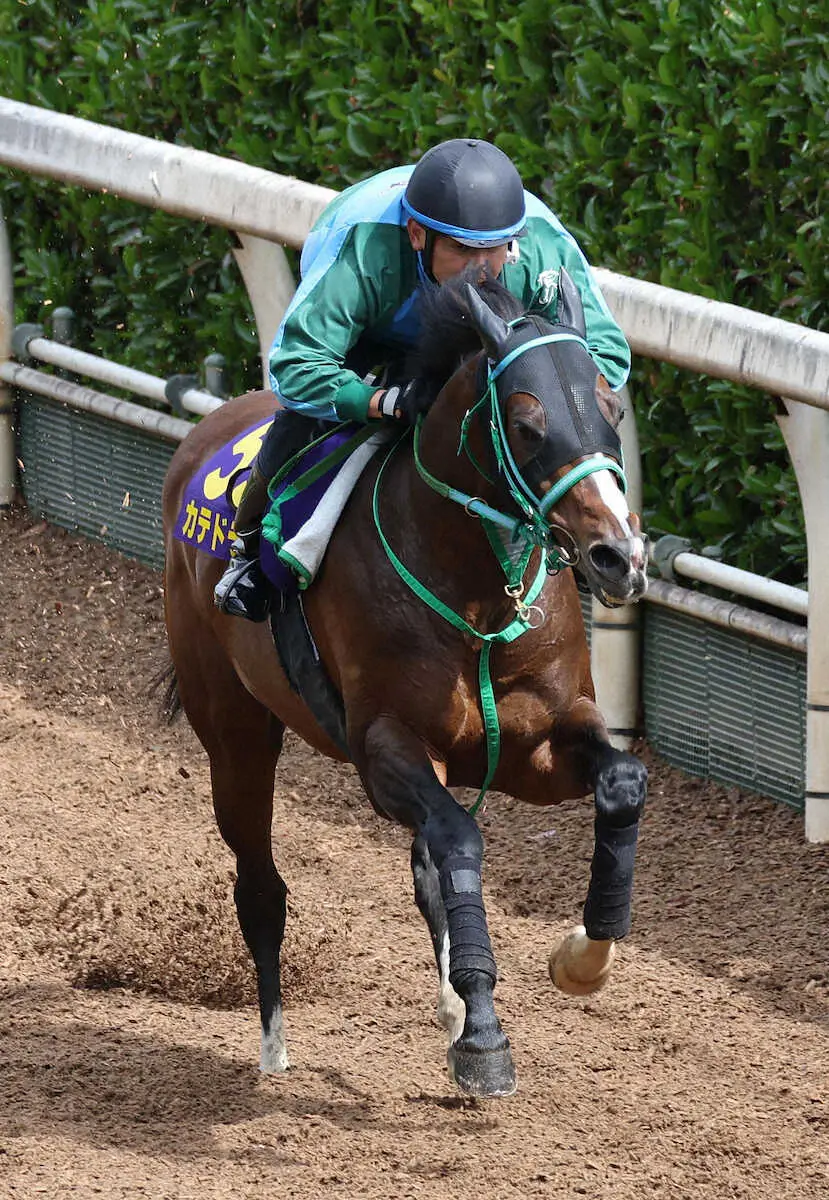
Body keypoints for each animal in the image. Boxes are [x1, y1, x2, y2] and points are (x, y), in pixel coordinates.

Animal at [161, 265, 652, 1099]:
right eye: (526, 423)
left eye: (610, 407)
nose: (616, 554)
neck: (477, 597)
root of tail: (208, 430)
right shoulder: (384, 746)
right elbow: (457, 840)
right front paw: (484, 1036)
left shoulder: (535, 745)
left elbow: (620, 783)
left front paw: (583, 957)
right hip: (231, 726)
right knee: (260, 886)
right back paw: (274, 1048)